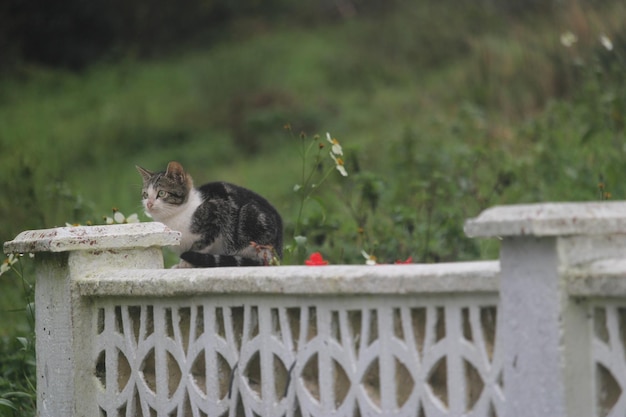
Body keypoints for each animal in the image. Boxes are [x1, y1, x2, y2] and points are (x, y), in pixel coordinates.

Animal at [138, 159, 282, 266]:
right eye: (145, 195)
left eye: (161, 193)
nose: (149, 204)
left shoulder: (216, 213)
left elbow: (199, 245)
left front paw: (185, 263)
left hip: (251, 218)